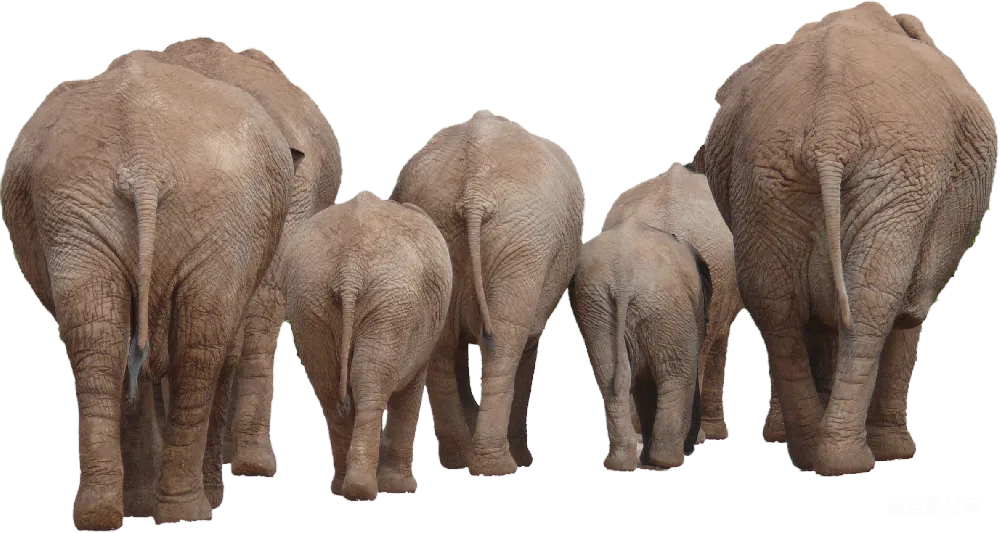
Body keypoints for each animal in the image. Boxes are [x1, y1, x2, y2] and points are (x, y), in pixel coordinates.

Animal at [0, 50, 297, 528]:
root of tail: (144, 159)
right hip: (204, 207)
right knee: (198, 342)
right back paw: (187, 512)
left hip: (79, 208)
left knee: (101, 336)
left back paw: (104, 515)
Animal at [280, 190, 453, 501]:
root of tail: (350, 267)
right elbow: (411, 387)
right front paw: (400, 488)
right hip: (390, 301)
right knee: (369, 379)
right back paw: (362, 489)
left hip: (310, 298)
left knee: (328, 383)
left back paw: (346, 488)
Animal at [388, 108, 586, 477]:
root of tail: (474, 190)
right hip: (524, 244)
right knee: (505, 343)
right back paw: (499, 467)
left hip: (448, 230)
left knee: (444, 345)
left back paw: (459, 460)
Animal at [570, 220, 712, 471]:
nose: (693, 447)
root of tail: (623, 280)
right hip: (664, 304)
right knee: (676, 374)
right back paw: (668, 461)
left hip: (596, 306)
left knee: (610, 376)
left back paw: (621, 463)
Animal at [695, 0, 998, 475]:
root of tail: (829, 127)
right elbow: (908, 310)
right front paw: (893, 452)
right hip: (895, 175)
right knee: (872, 300)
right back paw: (850, 460)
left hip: (764, 176)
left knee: (777, 302)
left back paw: (812, 453)